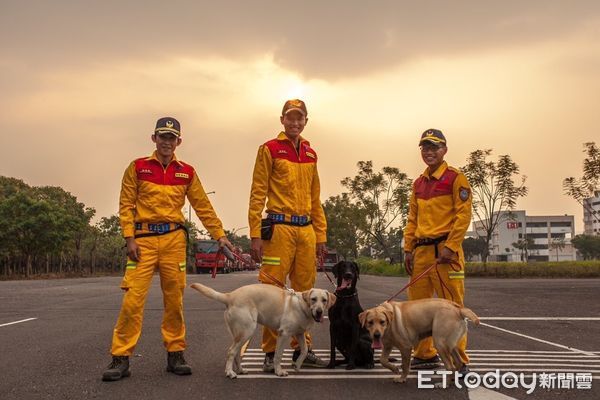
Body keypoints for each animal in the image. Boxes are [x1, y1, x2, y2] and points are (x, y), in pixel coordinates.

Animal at [191, 282, 336, 378]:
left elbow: (305, 350)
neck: (302, 306)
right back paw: (230, 372)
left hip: (242, 334)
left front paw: (297, 365)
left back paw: (240, 370)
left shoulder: (299, 333)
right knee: (231, 352)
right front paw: (279, 371)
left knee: (236, 353)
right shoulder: (284, 334)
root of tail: (230, 295)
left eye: (324, 300)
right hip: (247, 331)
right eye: (313, 299)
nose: (319, 312)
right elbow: (278, 355)